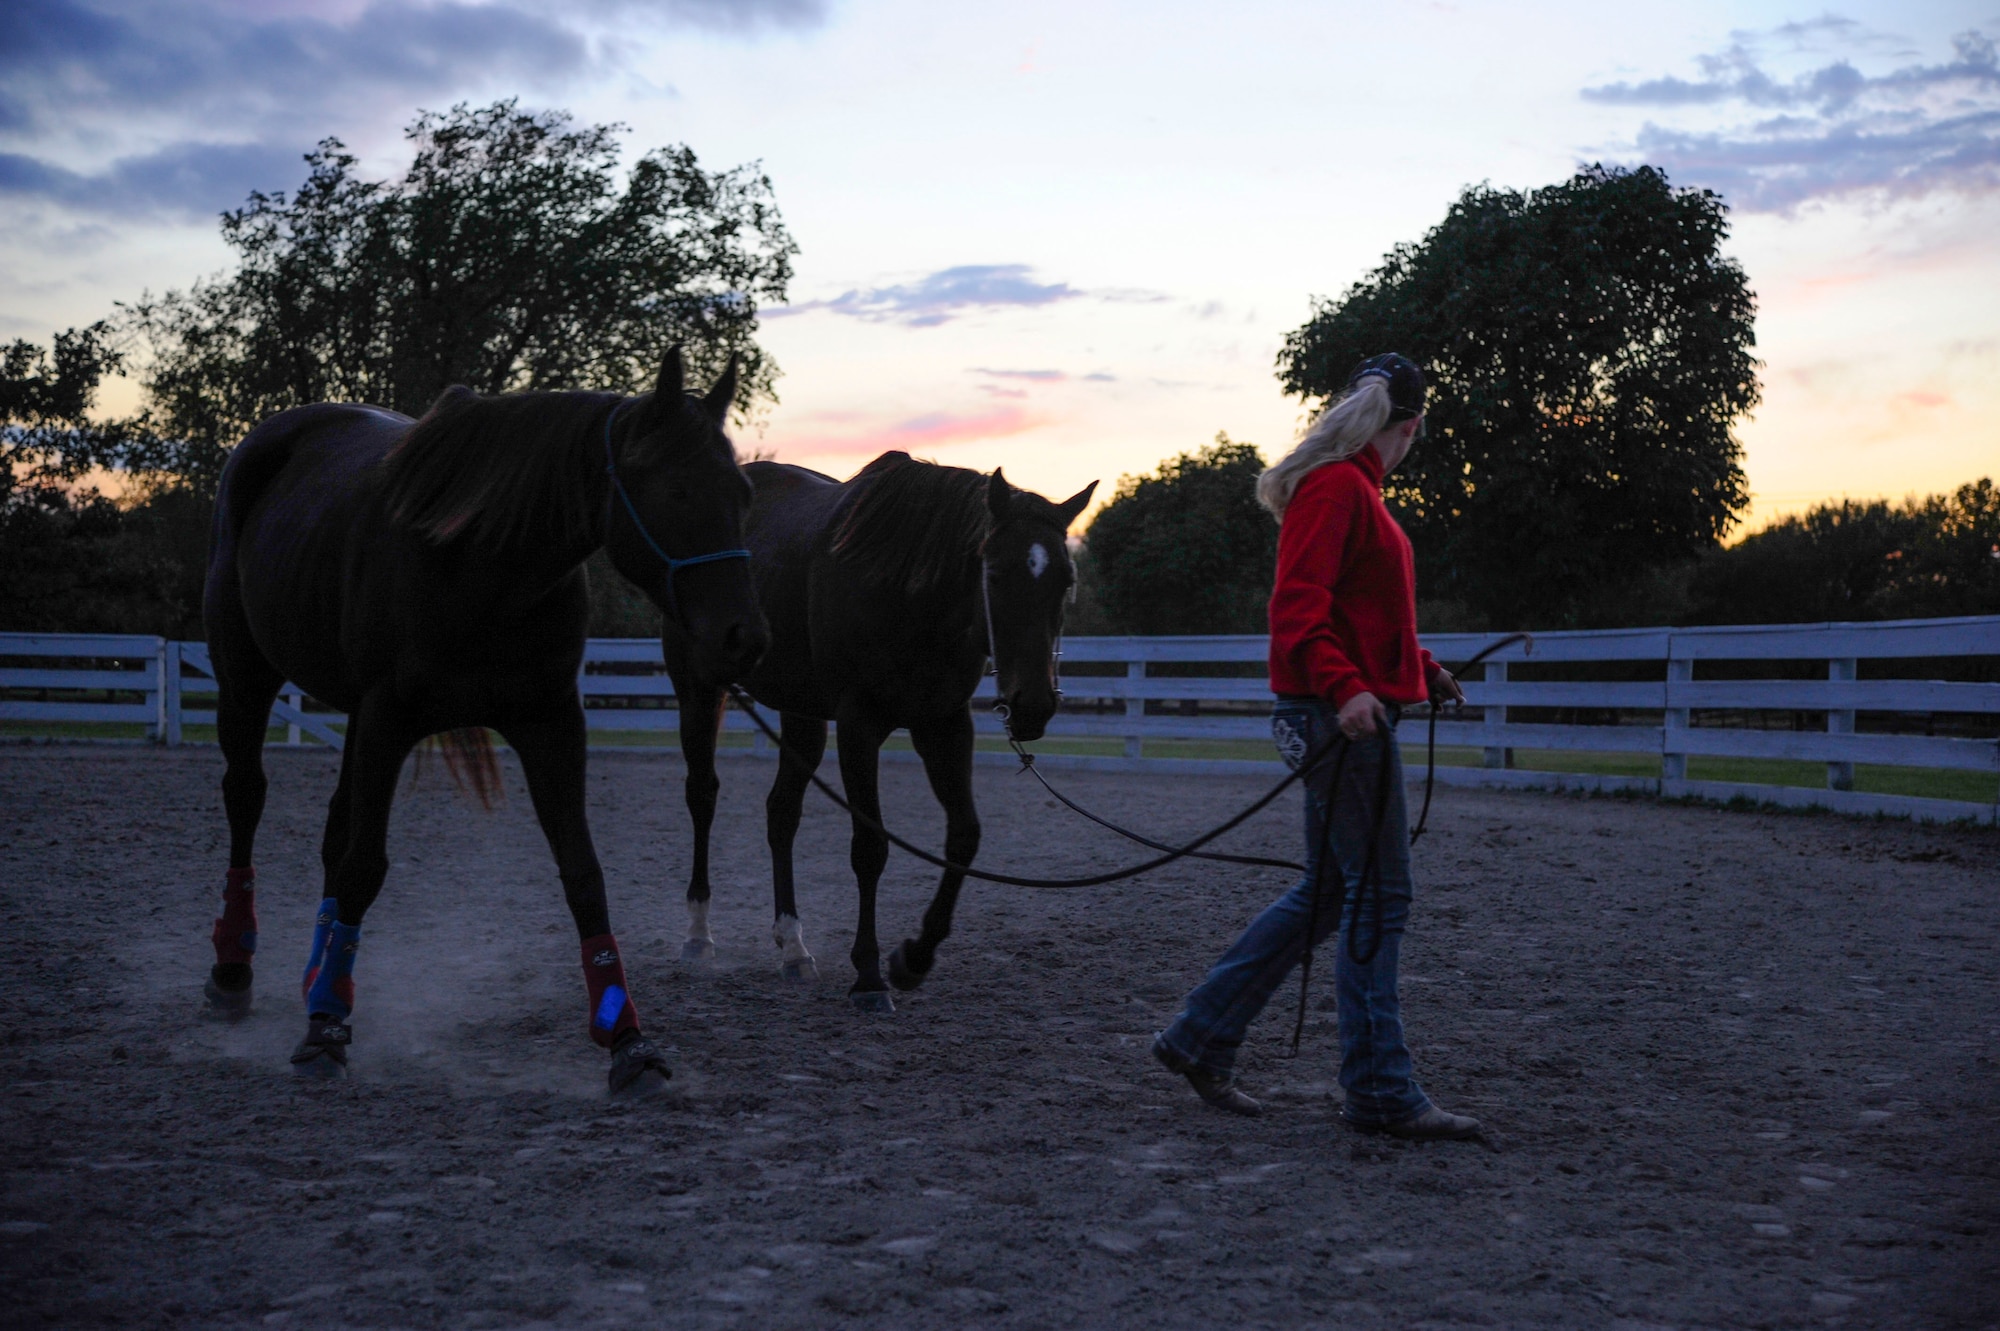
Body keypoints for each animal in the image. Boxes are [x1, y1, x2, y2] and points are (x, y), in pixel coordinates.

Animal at [203, 349, 764, 1087]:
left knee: (332, 828)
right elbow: (363, 867)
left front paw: (626, 1035)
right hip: (245, 674)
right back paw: (234, 970)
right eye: (676, 491)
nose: (743, 638)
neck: (482, 562)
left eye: (742, 495)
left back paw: (317, 974)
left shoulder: (551, 723)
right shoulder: (388, 718)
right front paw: (325, 1028)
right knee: (246, 798)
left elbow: (583, 874)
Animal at [664, 451, 1096, 1011]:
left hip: (801, 712)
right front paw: (868, 975)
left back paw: (793, 947)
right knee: (702, 795)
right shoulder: (858, 725)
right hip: (698, 687)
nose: (1034, 705)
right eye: (996, 574)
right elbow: (869, 849)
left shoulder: (944, 725)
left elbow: (964, 838)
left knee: (781, 814)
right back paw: (698, 935)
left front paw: (914, 957)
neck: (909, 594)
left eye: (1065, 580)